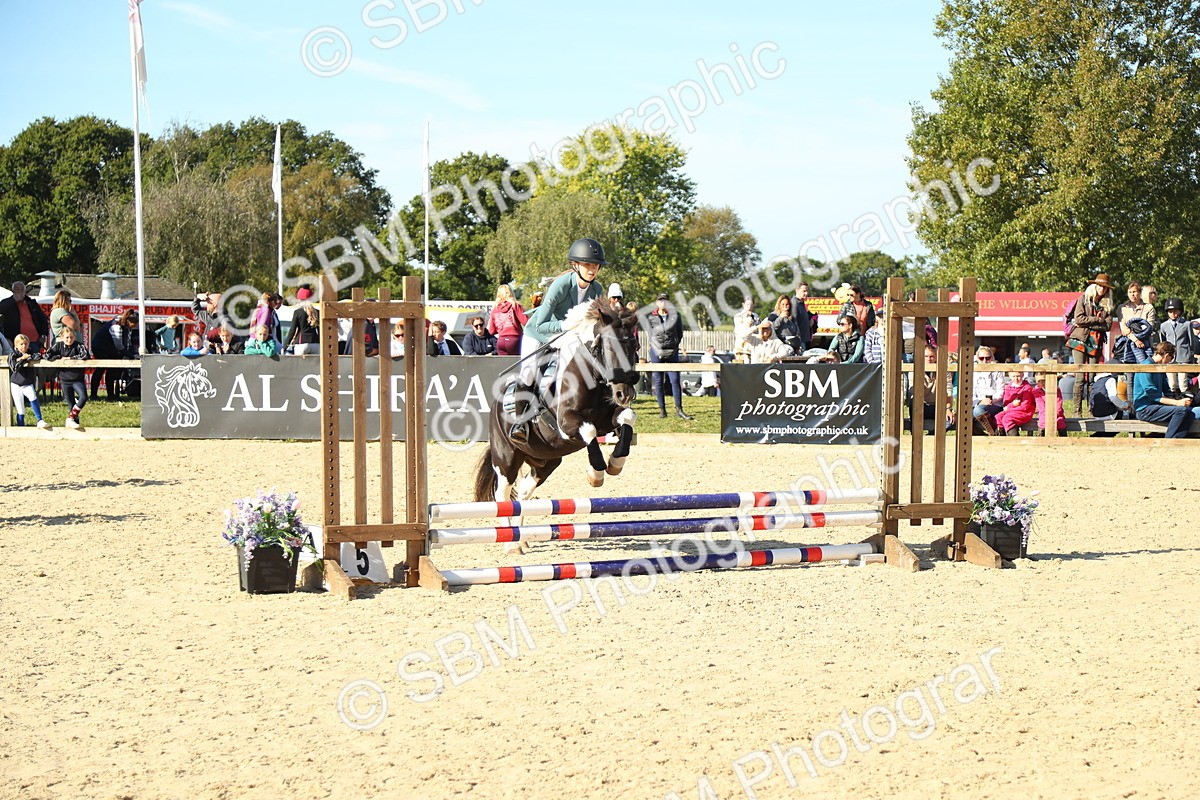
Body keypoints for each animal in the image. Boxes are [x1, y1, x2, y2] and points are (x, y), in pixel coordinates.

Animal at [474, 300, 640, 550]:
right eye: (610, 348)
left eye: (636, 347)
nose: (624, 393)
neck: (590, 374)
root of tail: (495, 406)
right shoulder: (566, 423)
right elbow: (589, 430)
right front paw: (596, 474)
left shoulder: (608, 420)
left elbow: (626, 419)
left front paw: (615, 462)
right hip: (506, 458)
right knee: (501, 495)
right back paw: (511, 544)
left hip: (546, 461)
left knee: (523, 491)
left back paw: (521, 540)